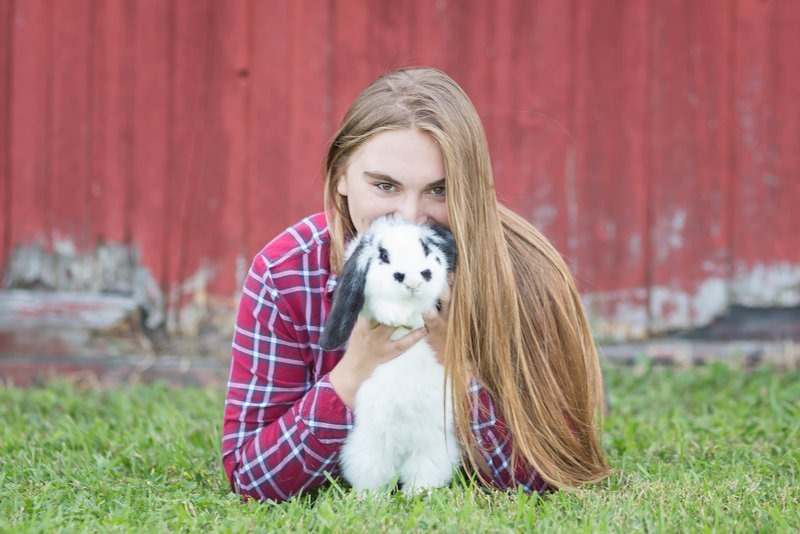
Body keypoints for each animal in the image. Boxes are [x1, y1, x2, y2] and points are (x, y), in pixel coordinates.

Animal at [319, 215, 461, 493]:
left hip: (435, 452)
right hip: (366, 455)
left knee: (423, 477)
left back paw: (416, 493)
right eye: (383, 255)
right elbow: (381, 304)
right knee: (373, 481)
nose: (415, 279)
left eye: (427, 249)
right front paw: (396, 315)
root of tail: (402, 450)